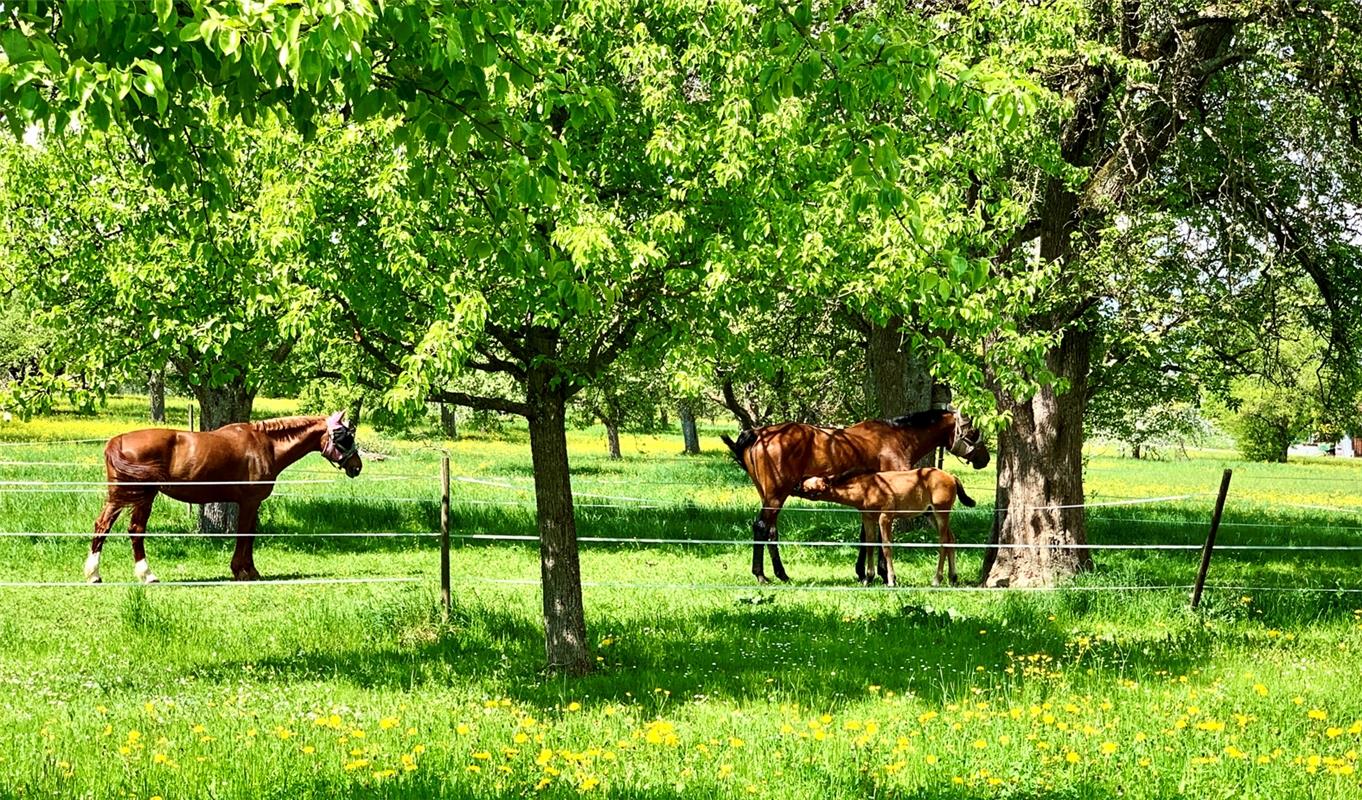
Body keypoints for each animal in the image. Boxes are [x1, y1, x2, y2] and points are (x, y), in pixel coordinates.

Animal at [84, 414, 362, 583]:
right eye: (344, 437)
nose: (357, 467)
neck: (265, 444)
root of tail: (118, 441)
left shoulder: (253, 504)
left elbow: (250, 534)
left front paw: (250, 570)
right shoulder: (249, 502)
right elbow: (244, 534)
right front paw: (242, 570)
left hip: (119, 496)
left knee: (102, 526)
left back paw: (94, 574)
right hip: (142, 496)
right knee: (136, 530)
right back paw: (147, 575)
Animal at [795, 468, 980, 588]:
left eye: (810, 485)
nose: (796, 485)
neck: (867, 488)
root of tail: (952, 477)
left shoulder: (885, 517)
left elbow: (886, 546)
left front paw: (891, 580)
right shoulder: (868, 517)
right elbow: (869, 545)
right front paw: (868, 578)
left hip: (941, 512)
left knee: (943, 542)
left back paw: (937, 579)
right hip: (931, 514)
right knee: (951, 539)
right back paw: (953, 577)